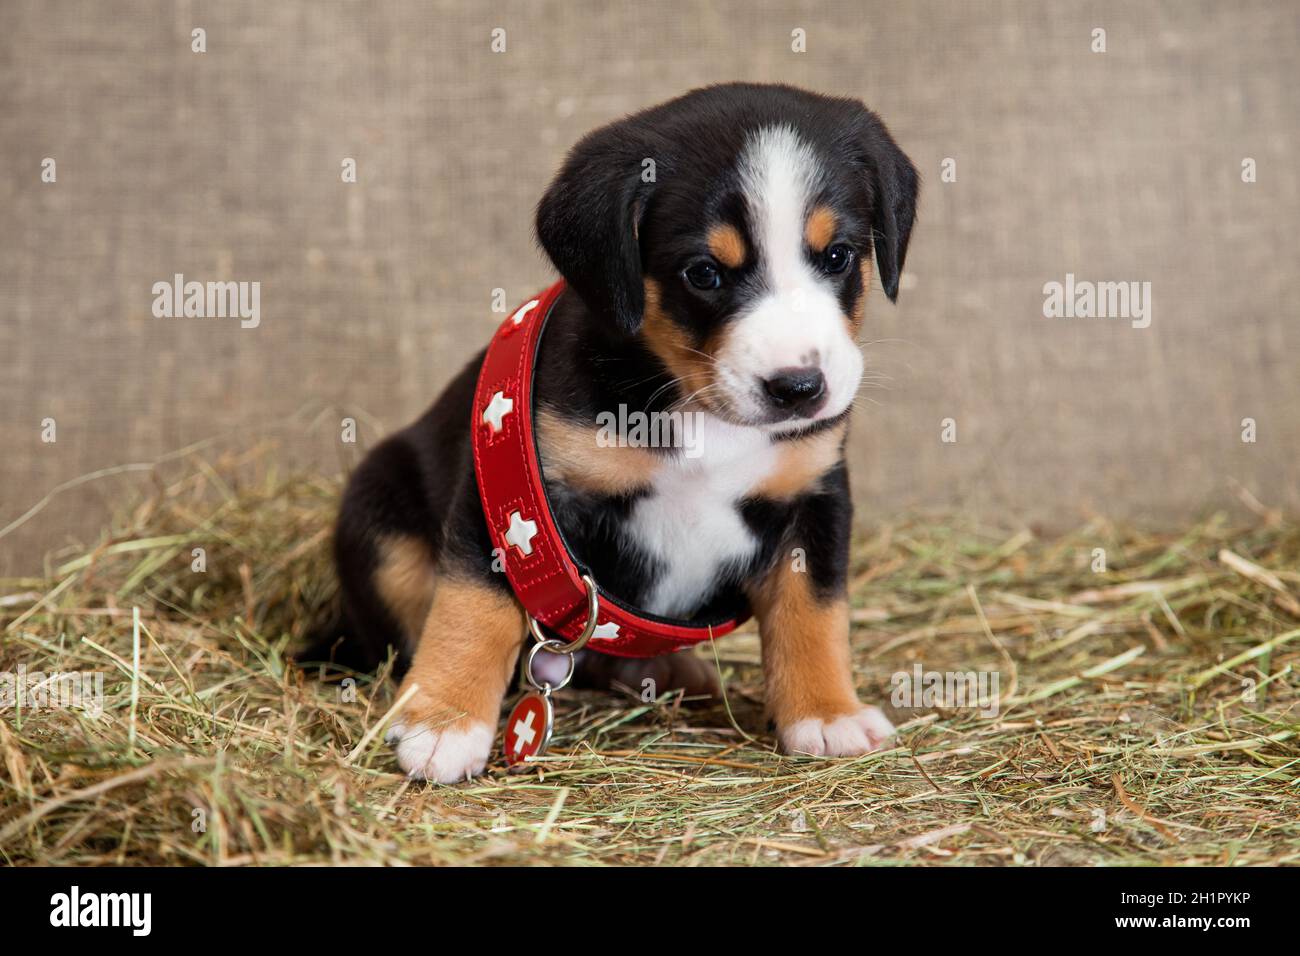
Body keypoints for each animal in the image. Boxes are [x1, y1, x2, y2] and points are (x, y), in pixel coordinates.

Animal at [309, 83, 920, 785]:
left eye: (838, 256)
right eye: (704, 272)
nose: (798, 387)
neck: (697, 409)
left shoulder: (813, 496)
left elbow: (814, 613)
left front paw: (826, 713)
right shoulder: (515, 497)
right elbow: (473, 607)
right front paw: (444, 722)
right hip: (379, 508)